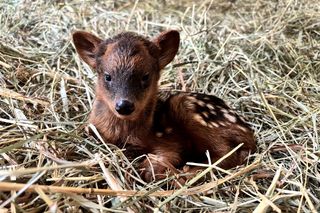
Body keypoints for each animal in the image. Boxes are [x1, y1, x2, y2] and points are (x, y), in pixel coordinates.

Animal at [72, 29, 255, 183]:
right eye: (108, 76)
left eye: (145, 76)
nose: (124, 106)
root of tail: (249, 133)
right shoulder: (92, 129)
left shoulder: (169, 141)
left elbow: (167, 157)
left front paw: (151, 170)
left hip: (185, 106)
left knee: (229, 152)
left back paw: (187, 172)